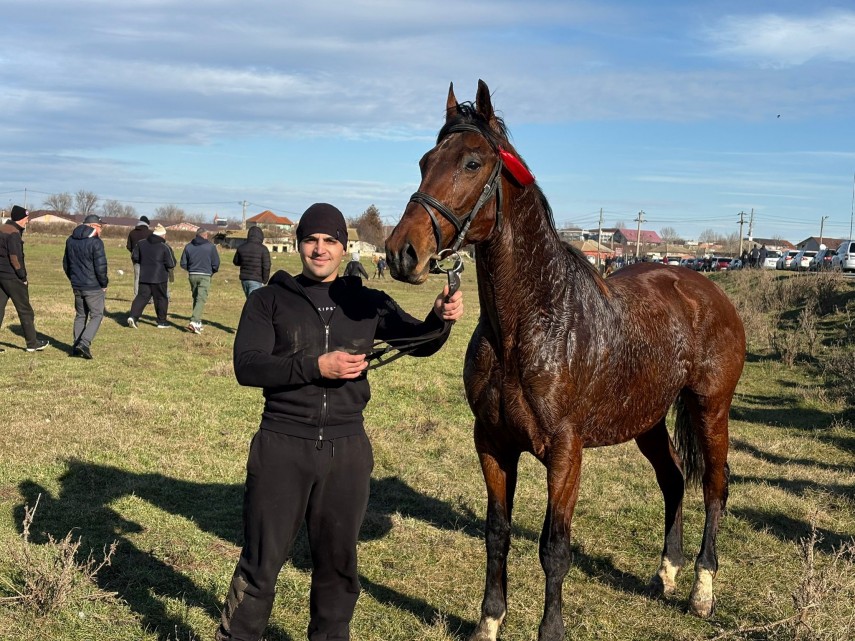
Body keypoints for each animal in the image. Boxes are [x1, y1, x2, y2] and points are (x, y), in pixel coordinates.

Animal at [384, 81, 744, 640]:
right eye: (424, 161)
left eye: (471, 162)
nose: (402, 253)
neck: (528, 327)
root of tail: (707, 289)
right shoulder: (492, 444)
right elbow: (497, 535)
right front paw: (489, 623)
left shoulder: (565, 453)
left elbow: (555, 549)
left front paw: (550, 629)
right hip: (646, 418)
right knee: (672, 480)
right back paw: (666, 573)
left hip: (711, 410)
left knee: (713, 486)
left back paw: (701, 591)